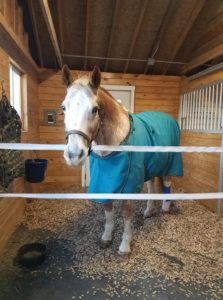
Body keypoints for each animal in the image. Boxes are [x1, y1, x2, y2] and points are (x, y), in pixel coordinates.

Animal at [61, 64, 183, 254]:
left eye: (94, 109)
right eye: (64, 108)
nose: (74, 155)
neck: (114, 146)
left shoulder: (130, 185)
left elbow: (126, 213)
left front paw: (125, 244)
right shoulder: (104, 182)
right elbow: (108, 210)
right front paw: (106, 237)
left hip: (170, 163)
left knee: (167, 182)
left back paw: (165, 207)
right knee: (151, 186)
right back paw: (149, 211)